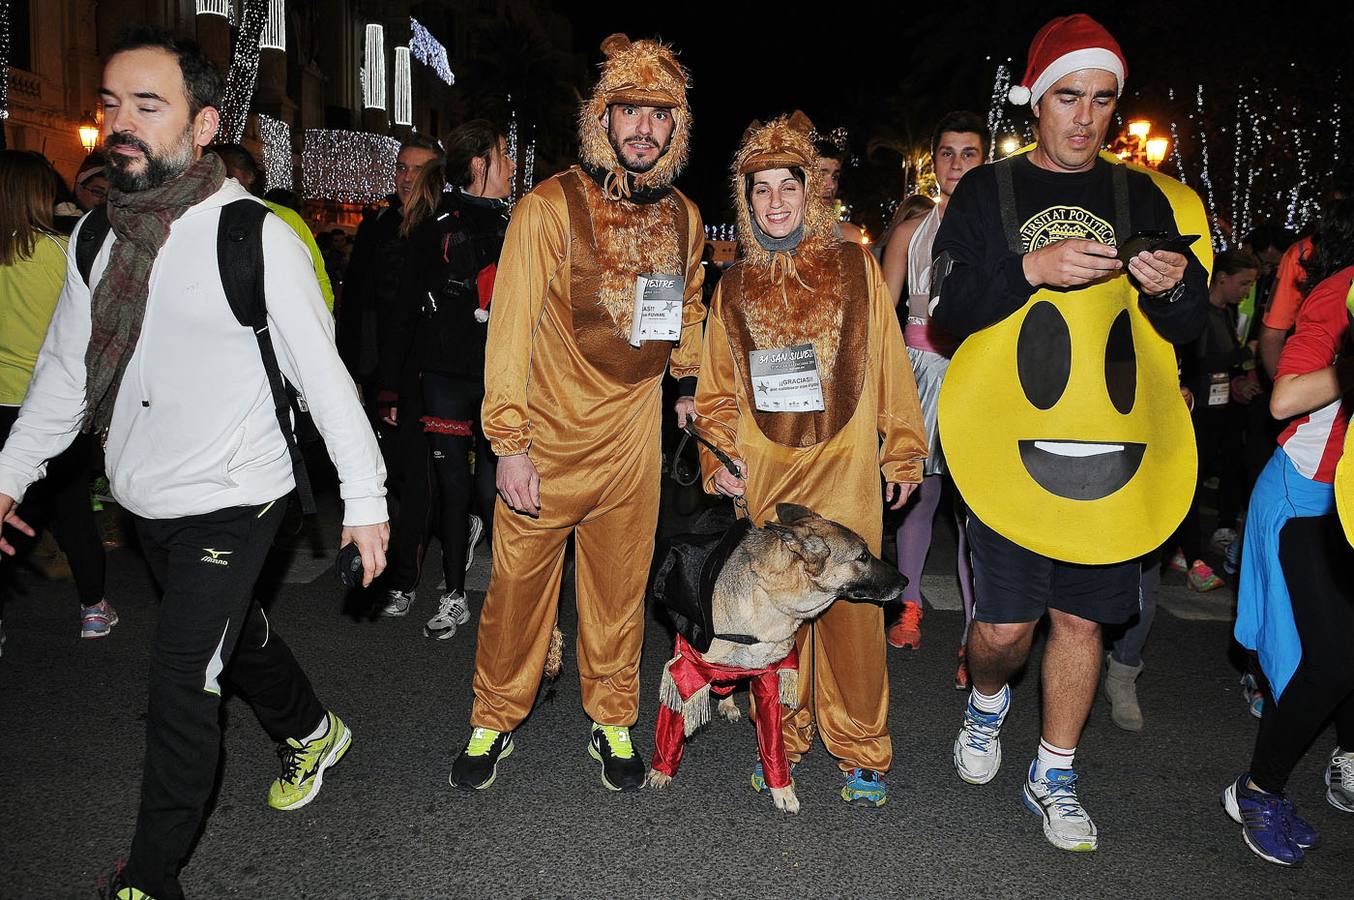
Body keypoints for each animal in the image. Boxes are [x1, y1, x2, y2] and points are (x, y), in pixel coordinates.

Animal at [647, 500, 904, 812]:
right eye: (863, 556)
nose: (905, 581)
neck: (768, 600)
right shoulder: (683, 671)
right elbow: (670, 730)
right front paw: (661, 770)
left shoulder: (767, 681)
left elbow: (773, 744)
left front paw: (781, 789)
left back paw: (727, 701)